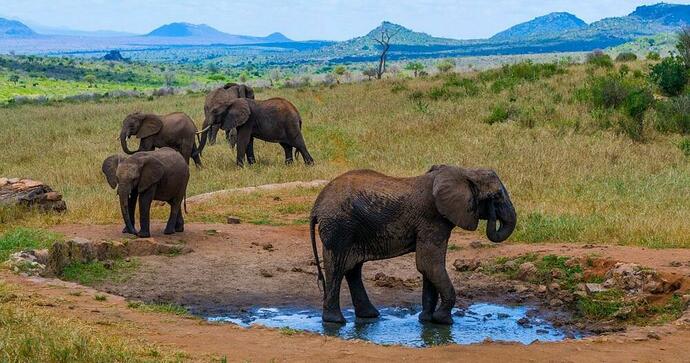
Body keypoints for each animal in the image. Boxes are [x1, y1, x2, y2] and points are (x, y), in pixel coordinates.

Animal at [310, 166, 512, 326]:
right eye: (496, 196)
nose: (493, 212)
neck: (464, 172)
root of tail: (316, 206)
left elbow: (429, 267)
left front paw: (427, 320)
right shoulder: (432, 219)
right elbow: (429, 265)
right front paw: (444, 321)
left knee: (352, 269)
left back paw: (369, 316)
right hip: (339, 227)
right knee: (337, 267)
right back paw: (335, 321)